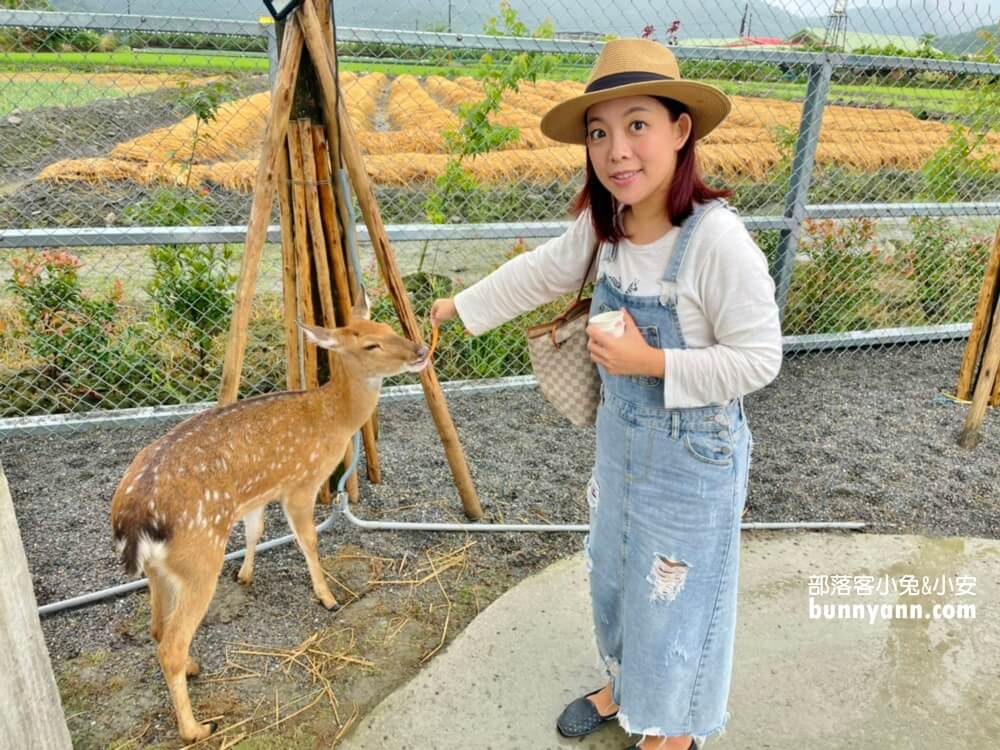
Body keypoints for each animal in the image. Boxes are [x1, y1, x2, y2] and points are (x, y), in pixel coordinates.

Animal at [110, 296, 430, 744]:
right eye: (370, 344)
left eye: (387, 326)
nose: (420, 351)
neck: (333, 417)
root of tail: (132, 514)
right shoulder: (301, 483)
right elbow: (308, 540)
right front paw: (328, 597)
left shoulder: (257, 495)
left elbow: (256, 530)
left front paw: (245, 575)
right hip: (198, 558)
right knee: (170, 643)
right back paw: (195, 728)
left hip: (160, 569)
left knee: (158, 629)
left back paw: (192, 667)